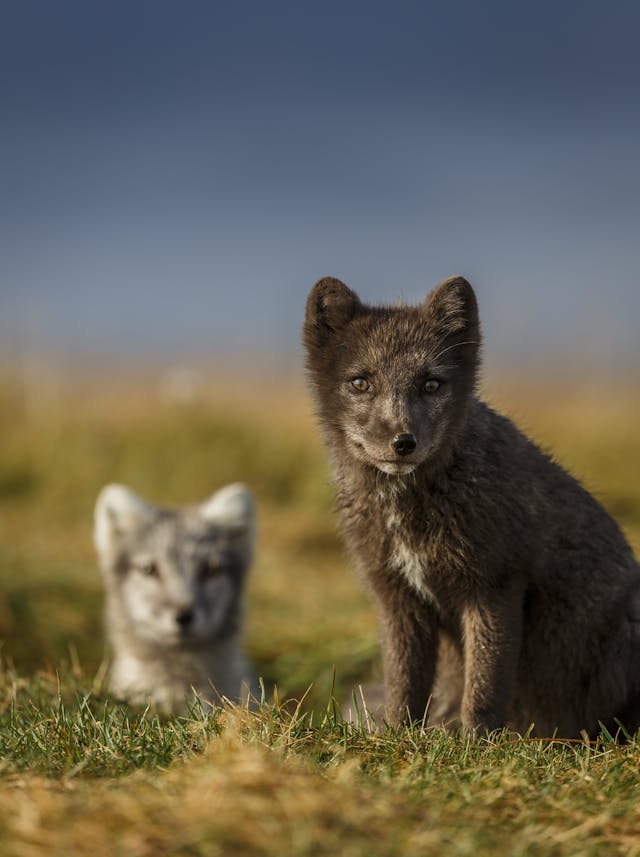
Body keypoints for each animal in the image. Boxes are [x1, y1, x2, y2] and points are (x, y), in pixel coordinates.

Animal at [302, 274, 640, 736]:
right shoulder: (396, 596)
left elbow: (484, 686)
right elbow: (403, 683)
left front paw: (477, 743)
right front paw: (397, 736)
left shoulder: (494, 587)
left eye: (431, 384)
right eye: (360, 383)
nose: (403, 442)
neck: (408, 514)